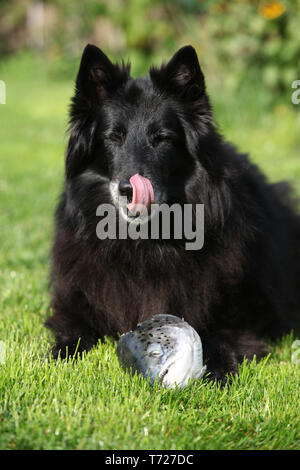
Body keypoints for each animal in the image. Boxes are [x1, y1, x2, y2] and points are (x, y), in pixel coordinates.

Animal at [45, 44, 300, 382]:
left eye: (161, 138)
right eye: (113, 137)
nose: (128, 189)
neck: (145, 243)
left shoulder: (239, 319)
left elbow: (219, 337)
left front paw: (220, 372)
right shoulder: (73, 305)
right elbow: (71, 336)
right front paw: (53, 360)